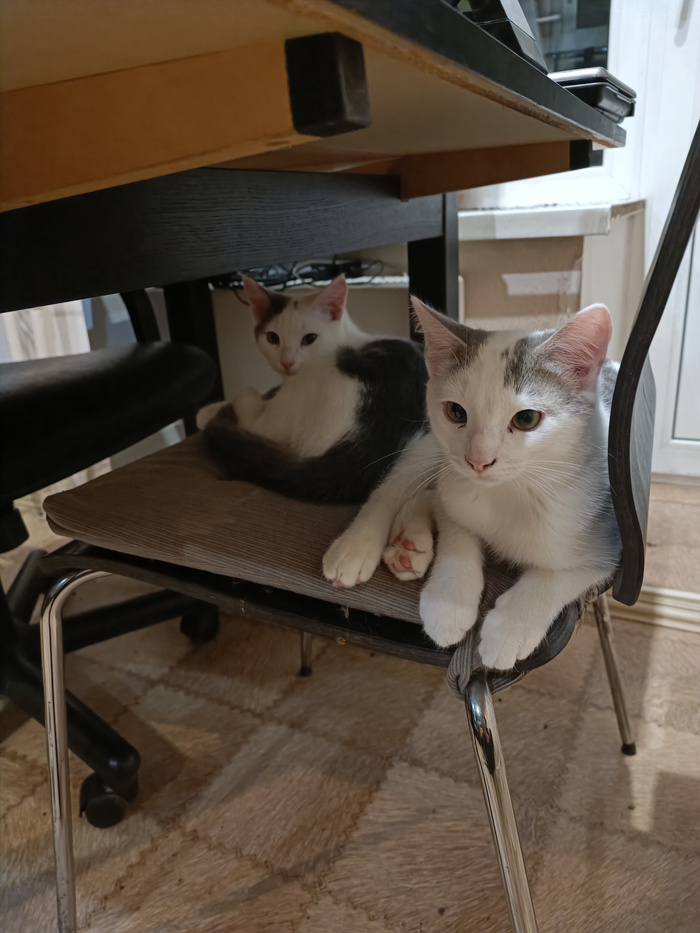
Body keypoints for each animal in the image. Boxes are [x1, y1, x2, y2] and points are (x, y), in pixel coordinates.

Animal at [323, 298, 621, 671]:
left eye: (526, 419)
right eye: (456, 412)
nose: (478, 461)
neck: (510, 492)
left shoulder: (614, 544)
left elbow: (562, 575)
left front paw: (510, 627)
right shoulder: (455, 486)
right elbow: (457, 531)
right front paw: (448, 600)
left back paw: (409, 546)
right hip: (433, 448)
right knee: (395, 490)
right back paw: (360, 546)